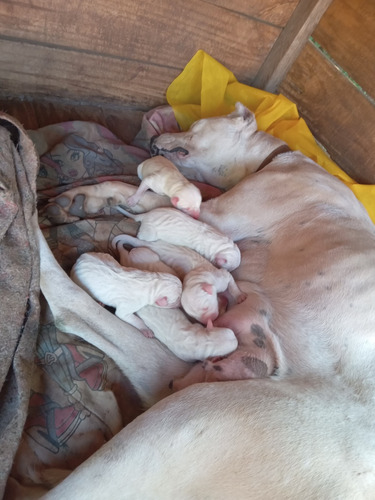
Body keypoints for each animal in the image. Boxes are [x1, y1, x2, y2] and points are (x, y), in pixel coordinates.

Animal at [41, 103, 375, 498]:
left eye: (197, 125)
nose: (154, 137)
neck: (276, 159)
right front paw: (85, 199)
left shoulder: (213, 215)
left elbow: (129, 188)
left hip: (185, 416)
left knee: (74, 307)